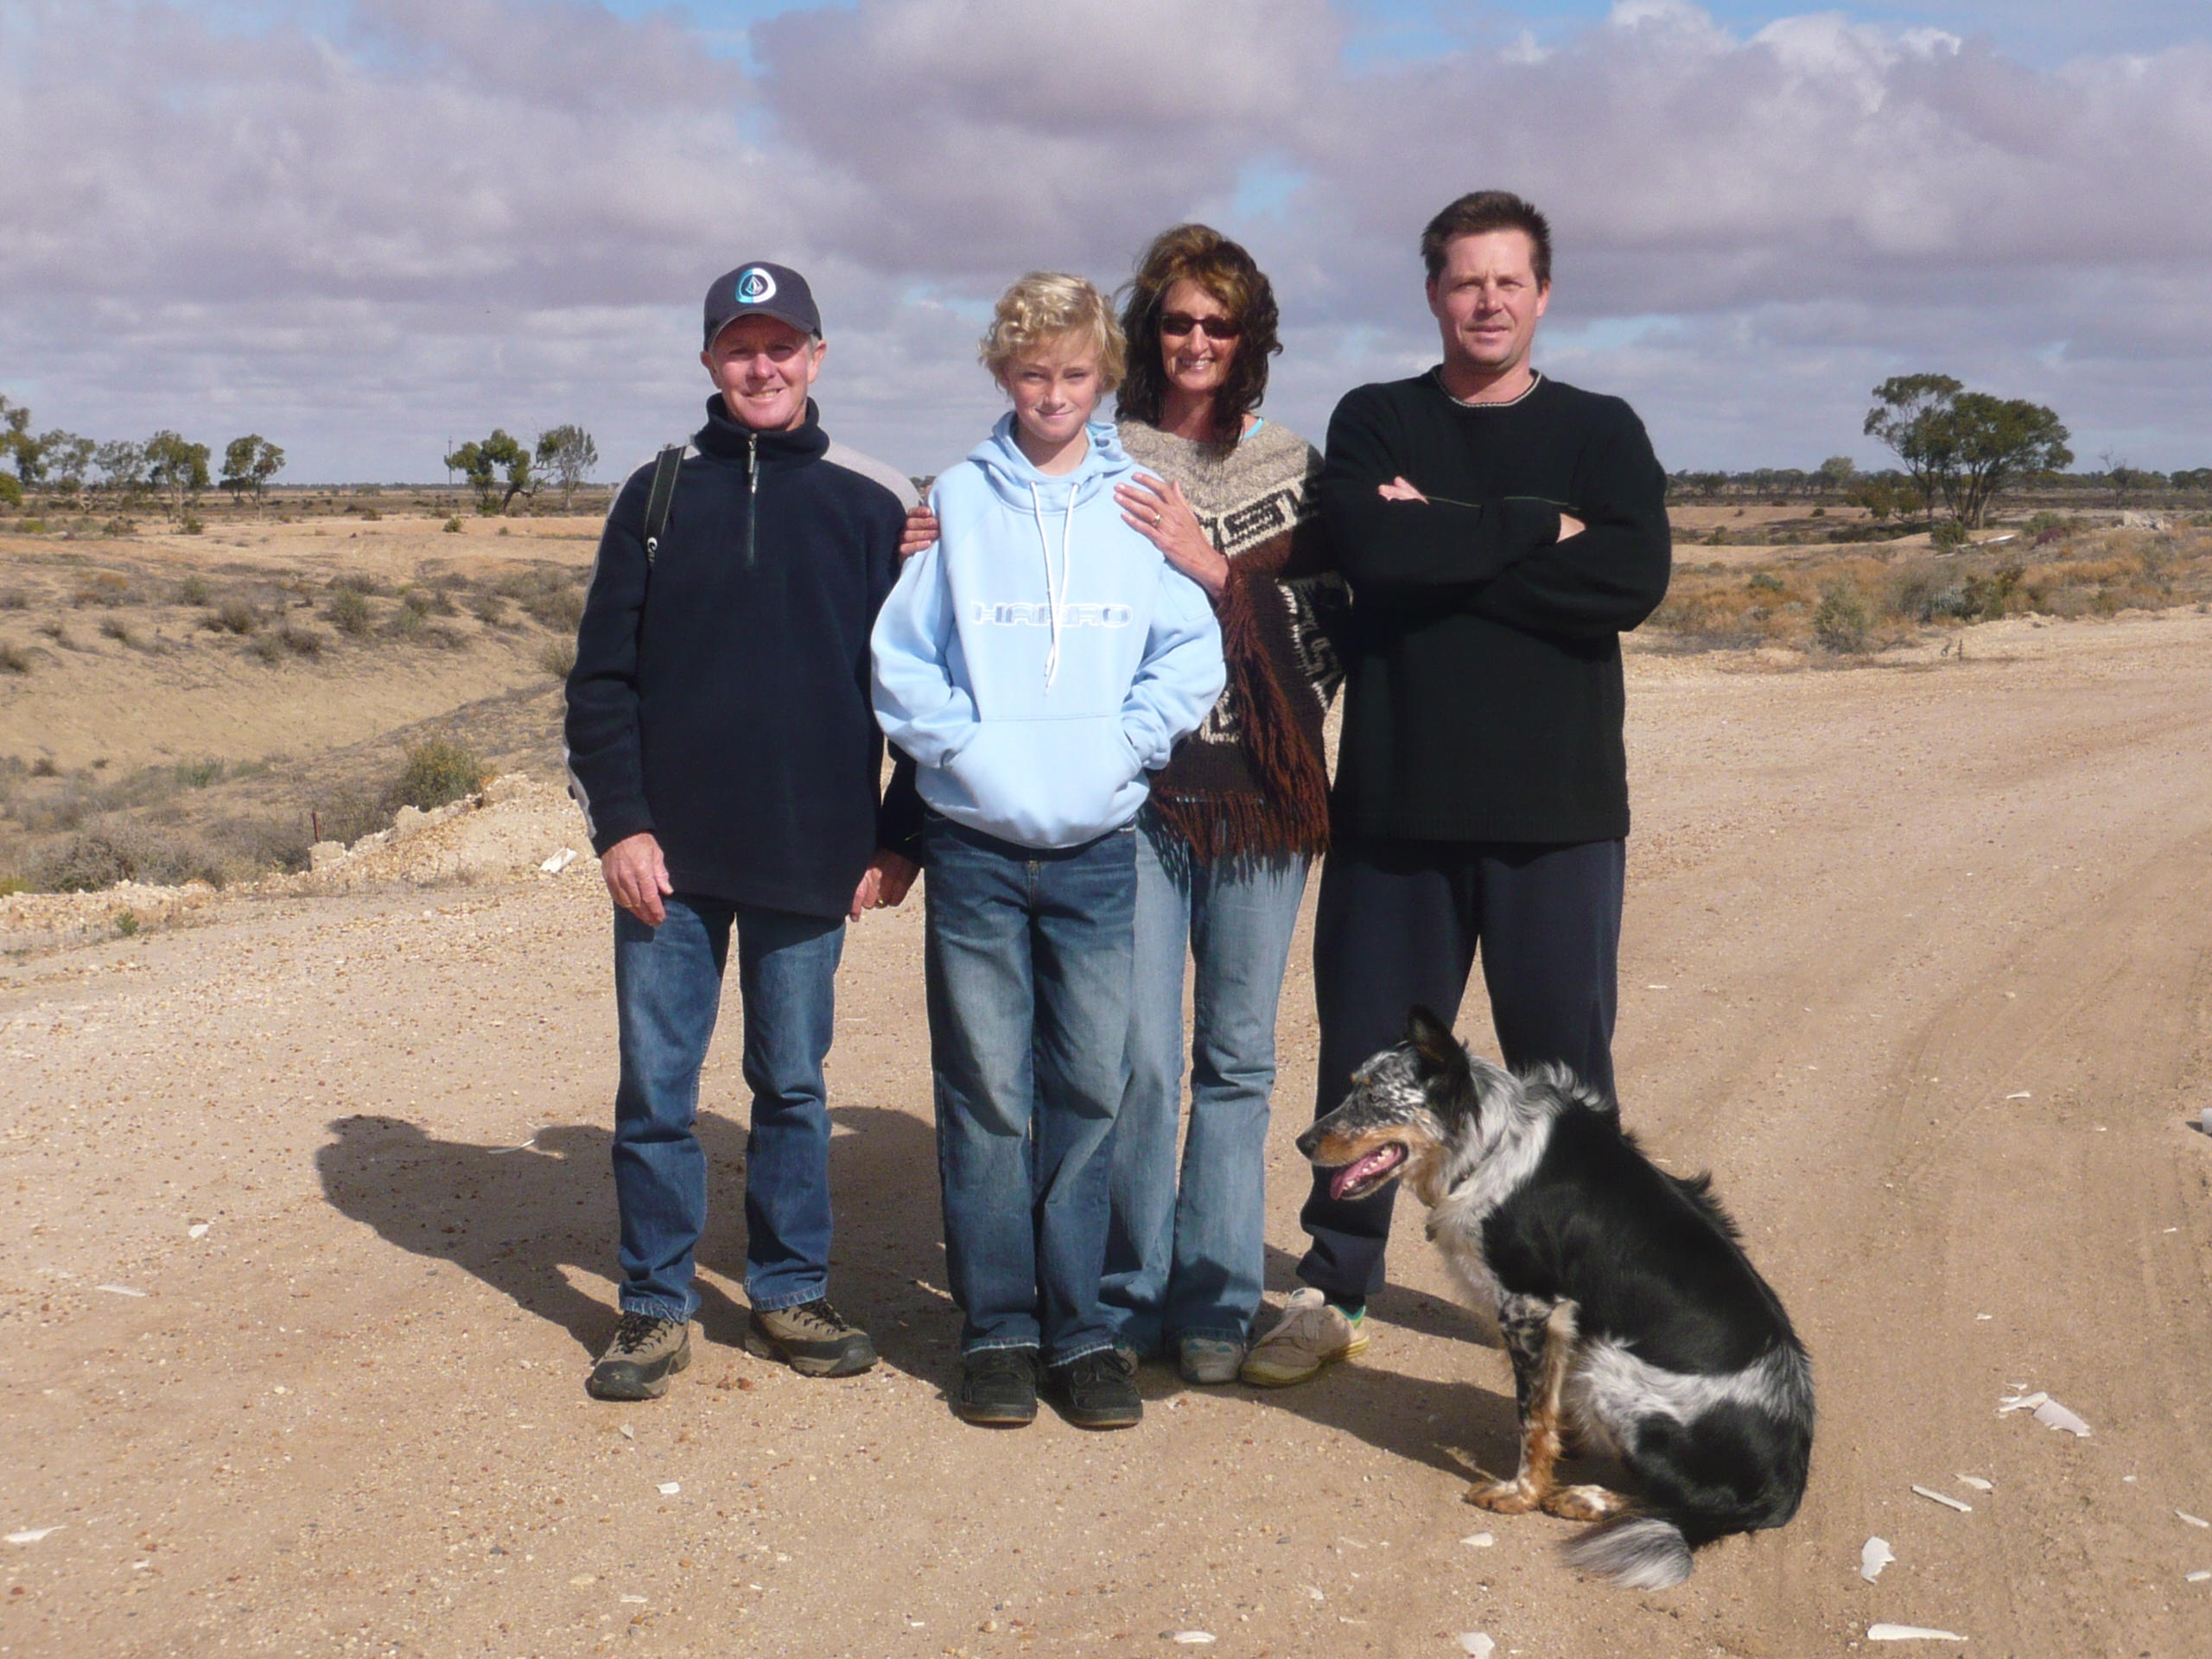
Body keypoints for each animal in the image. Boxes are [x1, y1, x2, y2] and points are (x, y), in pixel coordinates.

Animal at [1298, 1007, 1813, 1590]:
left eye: (1374, 1098)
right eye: (1351, 1088)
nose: (1302, 1143)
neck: (1490, 1144)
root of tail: (1785, 1486)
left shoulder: (1531, 1308)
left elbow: (1532, 1421)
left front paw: (1521, 1492)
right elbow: (1544, 1404)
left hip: (1610, 1371)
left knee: (1681, 1502)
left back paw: (1587, 1498)